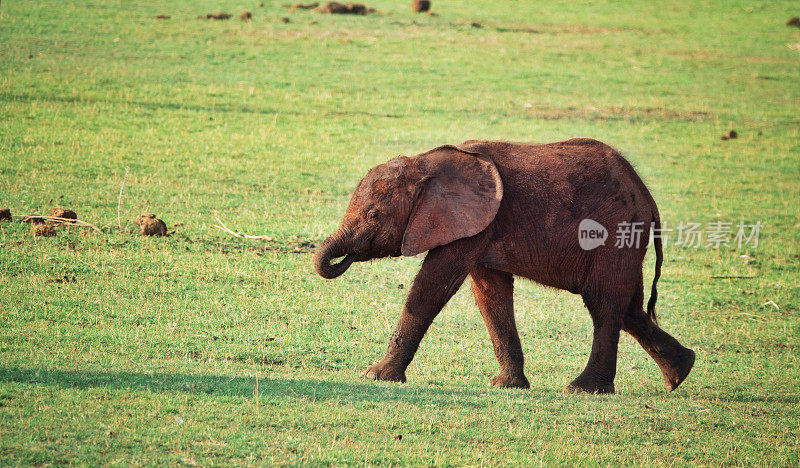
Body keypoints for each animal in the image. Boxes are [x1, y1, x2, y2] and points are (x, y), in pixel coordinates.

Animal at [312, 137, 692, 394]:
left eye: (374, 216)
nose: (343, 257)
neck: (426, 163)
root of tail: (647, 197)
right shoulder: (480, 224)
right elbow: (491, 297)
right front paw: (506, 386)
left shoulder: (469, 225)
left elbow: (431, 288)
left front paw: (376, 376)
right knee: (629, 308)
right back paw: (680, 373)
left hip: (615, 232)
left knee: (604, 304)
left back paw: (583, 389)